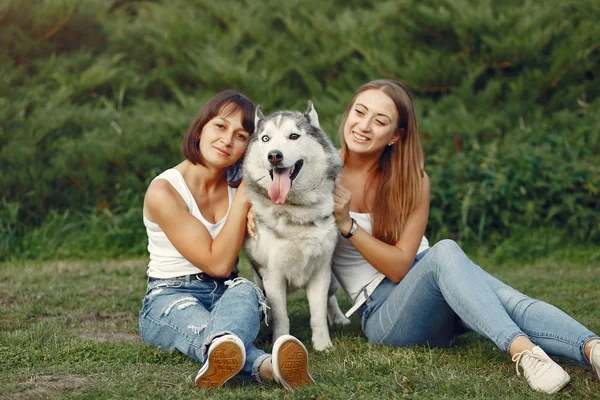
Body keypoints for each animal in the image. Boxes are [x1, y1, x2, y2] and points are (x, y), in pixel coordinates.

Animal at [241, 102, 350, 350]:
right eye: (265, 138)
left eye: (293, 136)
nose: (274, 155)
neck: (296, 211)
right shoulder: (272, 275)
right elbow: (282, 317)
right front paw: (280, 341)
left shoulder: (321, 271)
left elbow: (318, 314)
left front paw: (323, 345)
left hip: (332, 278)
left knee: (331, 298)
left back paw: (338, 318)